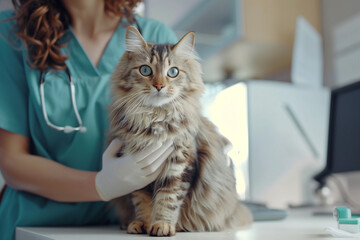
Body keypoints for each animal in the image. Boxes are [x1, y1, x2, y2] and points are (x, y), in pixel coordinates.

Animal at [108, 25, 252, 236]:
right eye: (145, 70)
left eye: (173, 72)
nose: (159, 85)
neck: (155, 118)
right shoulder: (136, 169)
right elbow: (142, 202)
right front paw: (142, 223)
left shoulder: (180, 165)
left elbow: (168, 200)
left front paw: (162, 225)